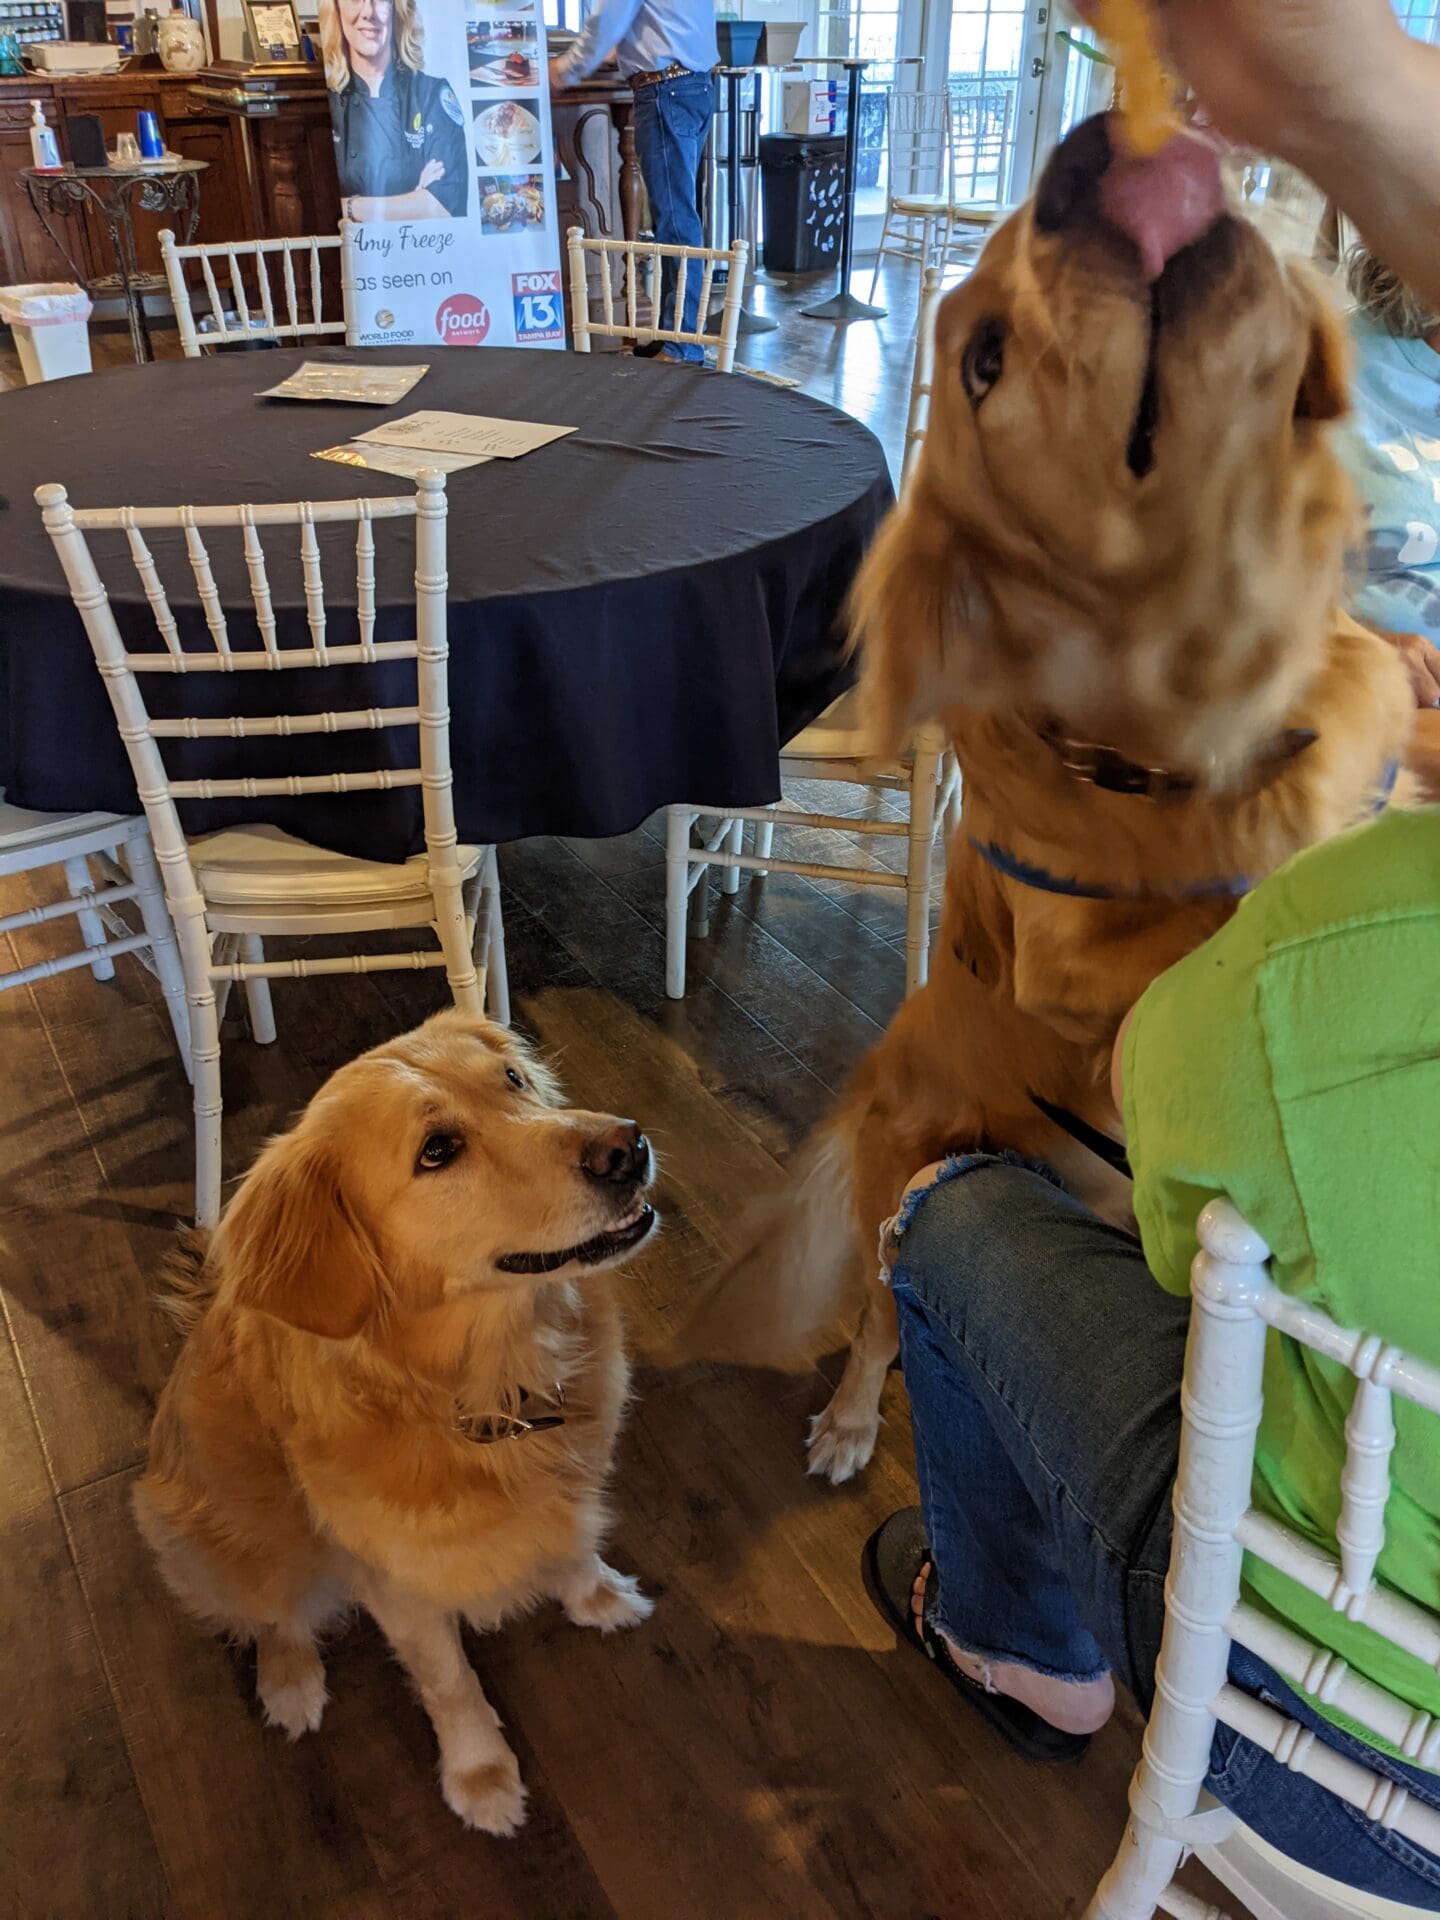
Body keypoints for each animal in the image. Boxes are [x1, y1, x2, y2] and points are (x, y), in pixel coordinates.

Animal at [132, 1006, 664, 1827]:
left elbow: (572, 1545)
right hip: (211, 1529)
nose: (626, 1148)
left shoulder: (570, 1485)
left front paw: (598, 1596)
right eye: (437, 1151)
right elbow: (448, 1680)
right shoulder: (393, 1580)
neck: (492, 1386)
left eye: (513, 1079)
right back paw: (290, 1681)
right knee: (273, 1612)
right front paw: (480, 1773)